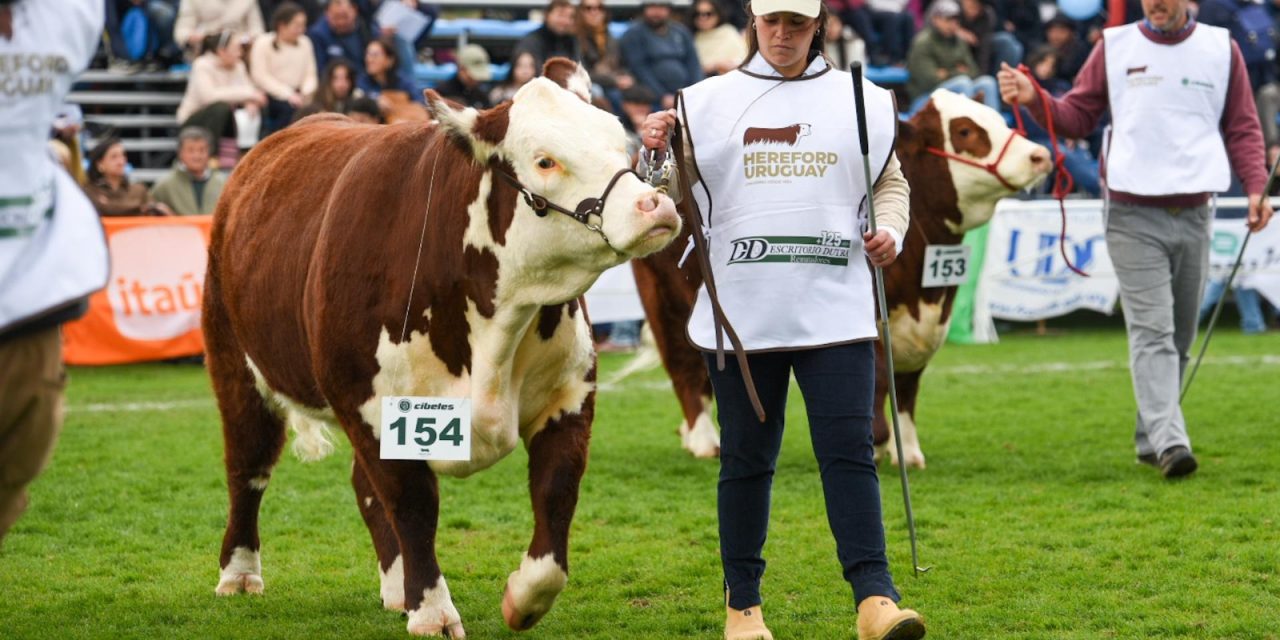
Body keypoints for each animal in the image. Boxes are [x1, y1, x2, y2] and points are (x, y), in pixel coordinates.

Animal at [203, 67, 680, 637]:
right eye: (545, 160)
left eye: (617, 140)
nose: (654, 205)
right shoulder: (373, 406)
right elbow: (413, 505)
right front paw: (432, 611)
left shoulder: (568, 397)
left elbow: (555, 493)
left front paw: (521, 599)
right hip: (235, 366)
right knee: (247, 468)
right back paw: (239, 574)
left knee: (362, 486)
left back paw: (395, 589)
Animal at [637, 88, 1049, 465]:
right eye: (964, 131)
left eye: (996, 118)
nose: (1039, 155)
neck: (923, 289)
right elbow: (879, 383)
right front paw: (881, 444)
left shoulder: (926, 325)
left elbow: (907, 387)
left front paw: (909, 452)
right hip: (666, 304)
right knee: (683, 368)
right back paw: (704, 440)